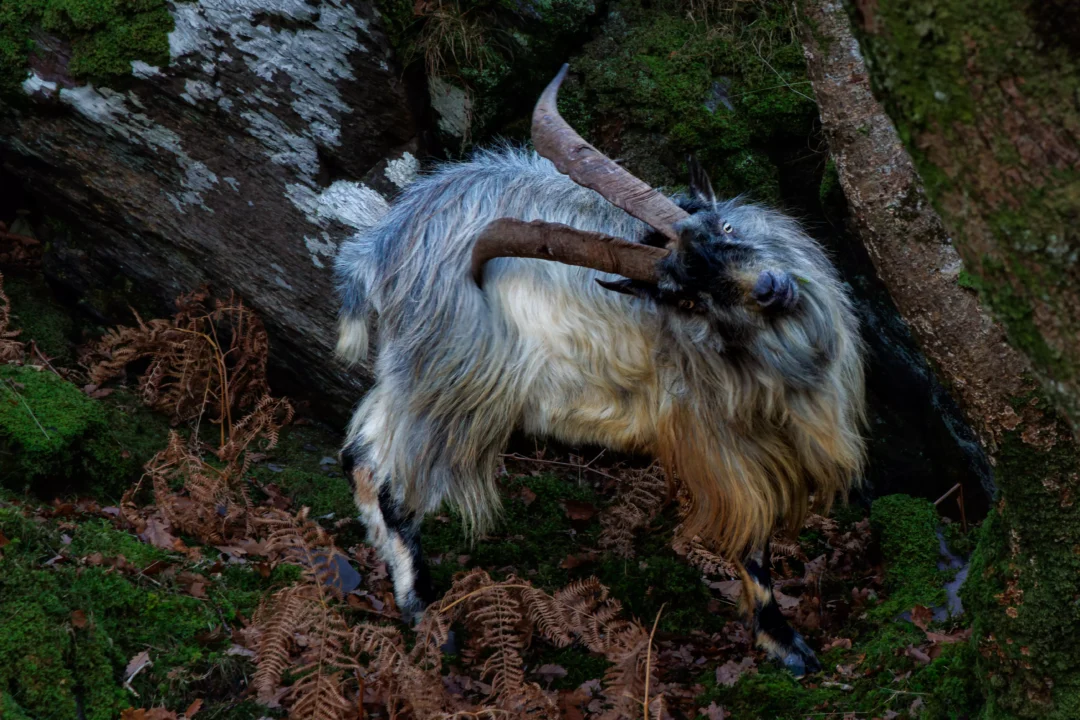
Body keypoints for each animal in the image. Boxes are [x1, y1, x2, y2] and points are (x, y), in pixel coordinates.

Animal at [335, 65, 867, 676]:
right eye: (685, 298)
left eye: (727, 228)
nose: (770, 289)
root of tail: (379, 247)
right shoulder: (719, 440)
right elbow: (754, 537)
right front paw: (784, 643)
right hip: (449, 381)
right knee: (392, 479)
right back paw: (425, 613)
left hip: (409, 372)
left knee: (359, 454)